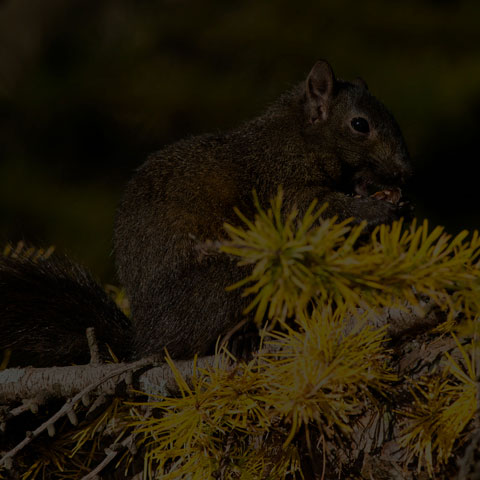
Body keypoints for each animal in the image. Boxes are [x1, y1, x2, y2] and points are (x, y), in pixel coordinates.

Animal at [0, 61, 412, 368]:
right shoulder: (282, 186)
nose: (405, 170)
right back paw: (241, 339)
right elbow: (314, 212)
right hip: (227, 280)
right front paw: (378, 207)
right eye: (360, 124)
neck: (298, 137)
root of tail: (142, 340)